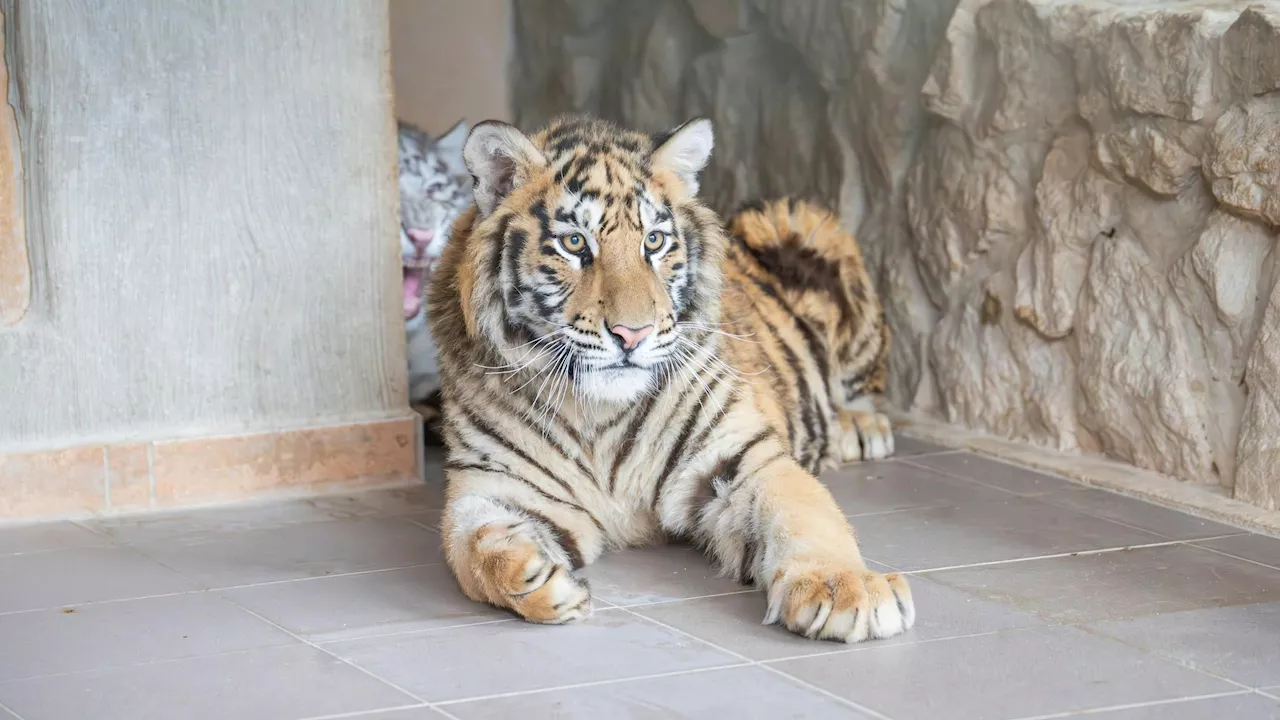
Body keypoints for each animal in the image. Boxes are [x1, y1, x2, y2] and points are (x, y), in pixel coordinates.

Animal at [427, 114, 911, 640]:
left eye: (654, 242)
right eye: (574, 243)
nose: (631, 334)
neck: (597, 412)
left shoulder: (741, 458)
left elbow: (808, 515)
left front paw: (846, 590)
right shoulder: (494, 482)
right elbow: (473, 549)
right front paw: (538, 580)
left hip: (803, 226)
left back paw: (859, 428)